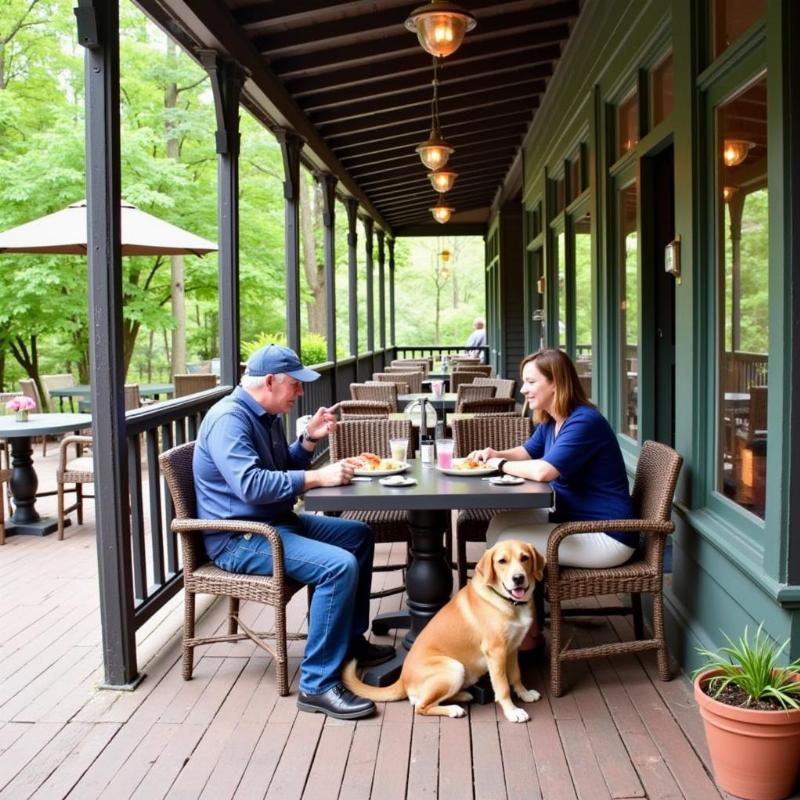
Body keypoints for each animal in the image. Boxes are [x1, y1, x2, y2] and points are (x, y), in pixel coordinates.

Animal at [340, 540, 548, 720]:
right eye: (502, 561)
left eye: (524, 558)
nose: (518, 578)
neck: (509, 603)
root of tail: (402, 680)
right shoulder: (496, 652)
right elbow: (503, 686)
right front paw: (512, 711)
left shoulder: (512, 648)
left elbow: (516, 675)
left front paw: (524, 693)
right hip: (454, 668)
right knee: (421, 707)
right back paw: (453, 709)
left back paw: (463, 696)